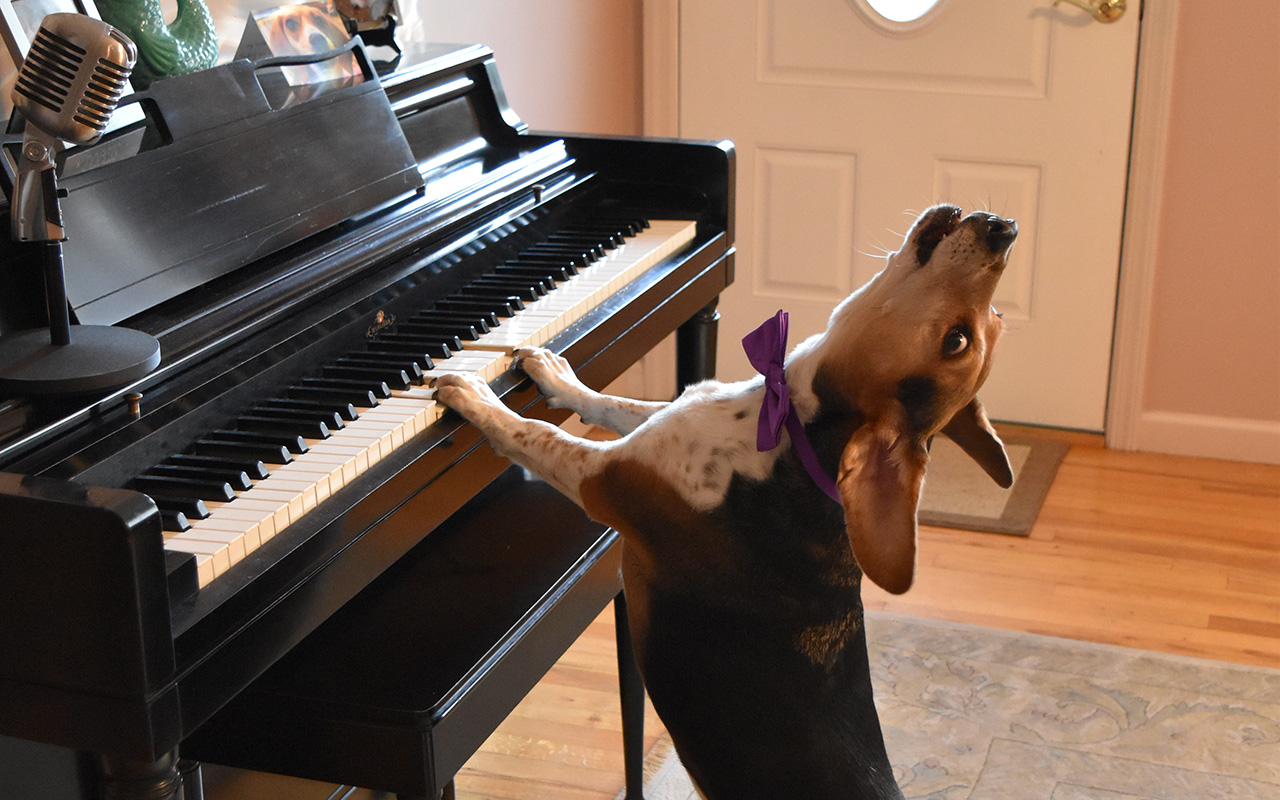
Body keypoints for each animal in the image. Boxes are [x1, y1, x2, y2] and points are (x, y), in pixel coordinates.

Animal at [440, 206, 1018, 798]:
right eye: (990, 320)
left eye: (956, 341)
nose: (1005, 228)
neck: (789, 426)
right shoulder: (662, 422)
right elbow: (609, 401)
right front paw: (554, 374)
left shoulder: (604, 479)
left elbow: (536, 434)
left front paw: (473, 394)